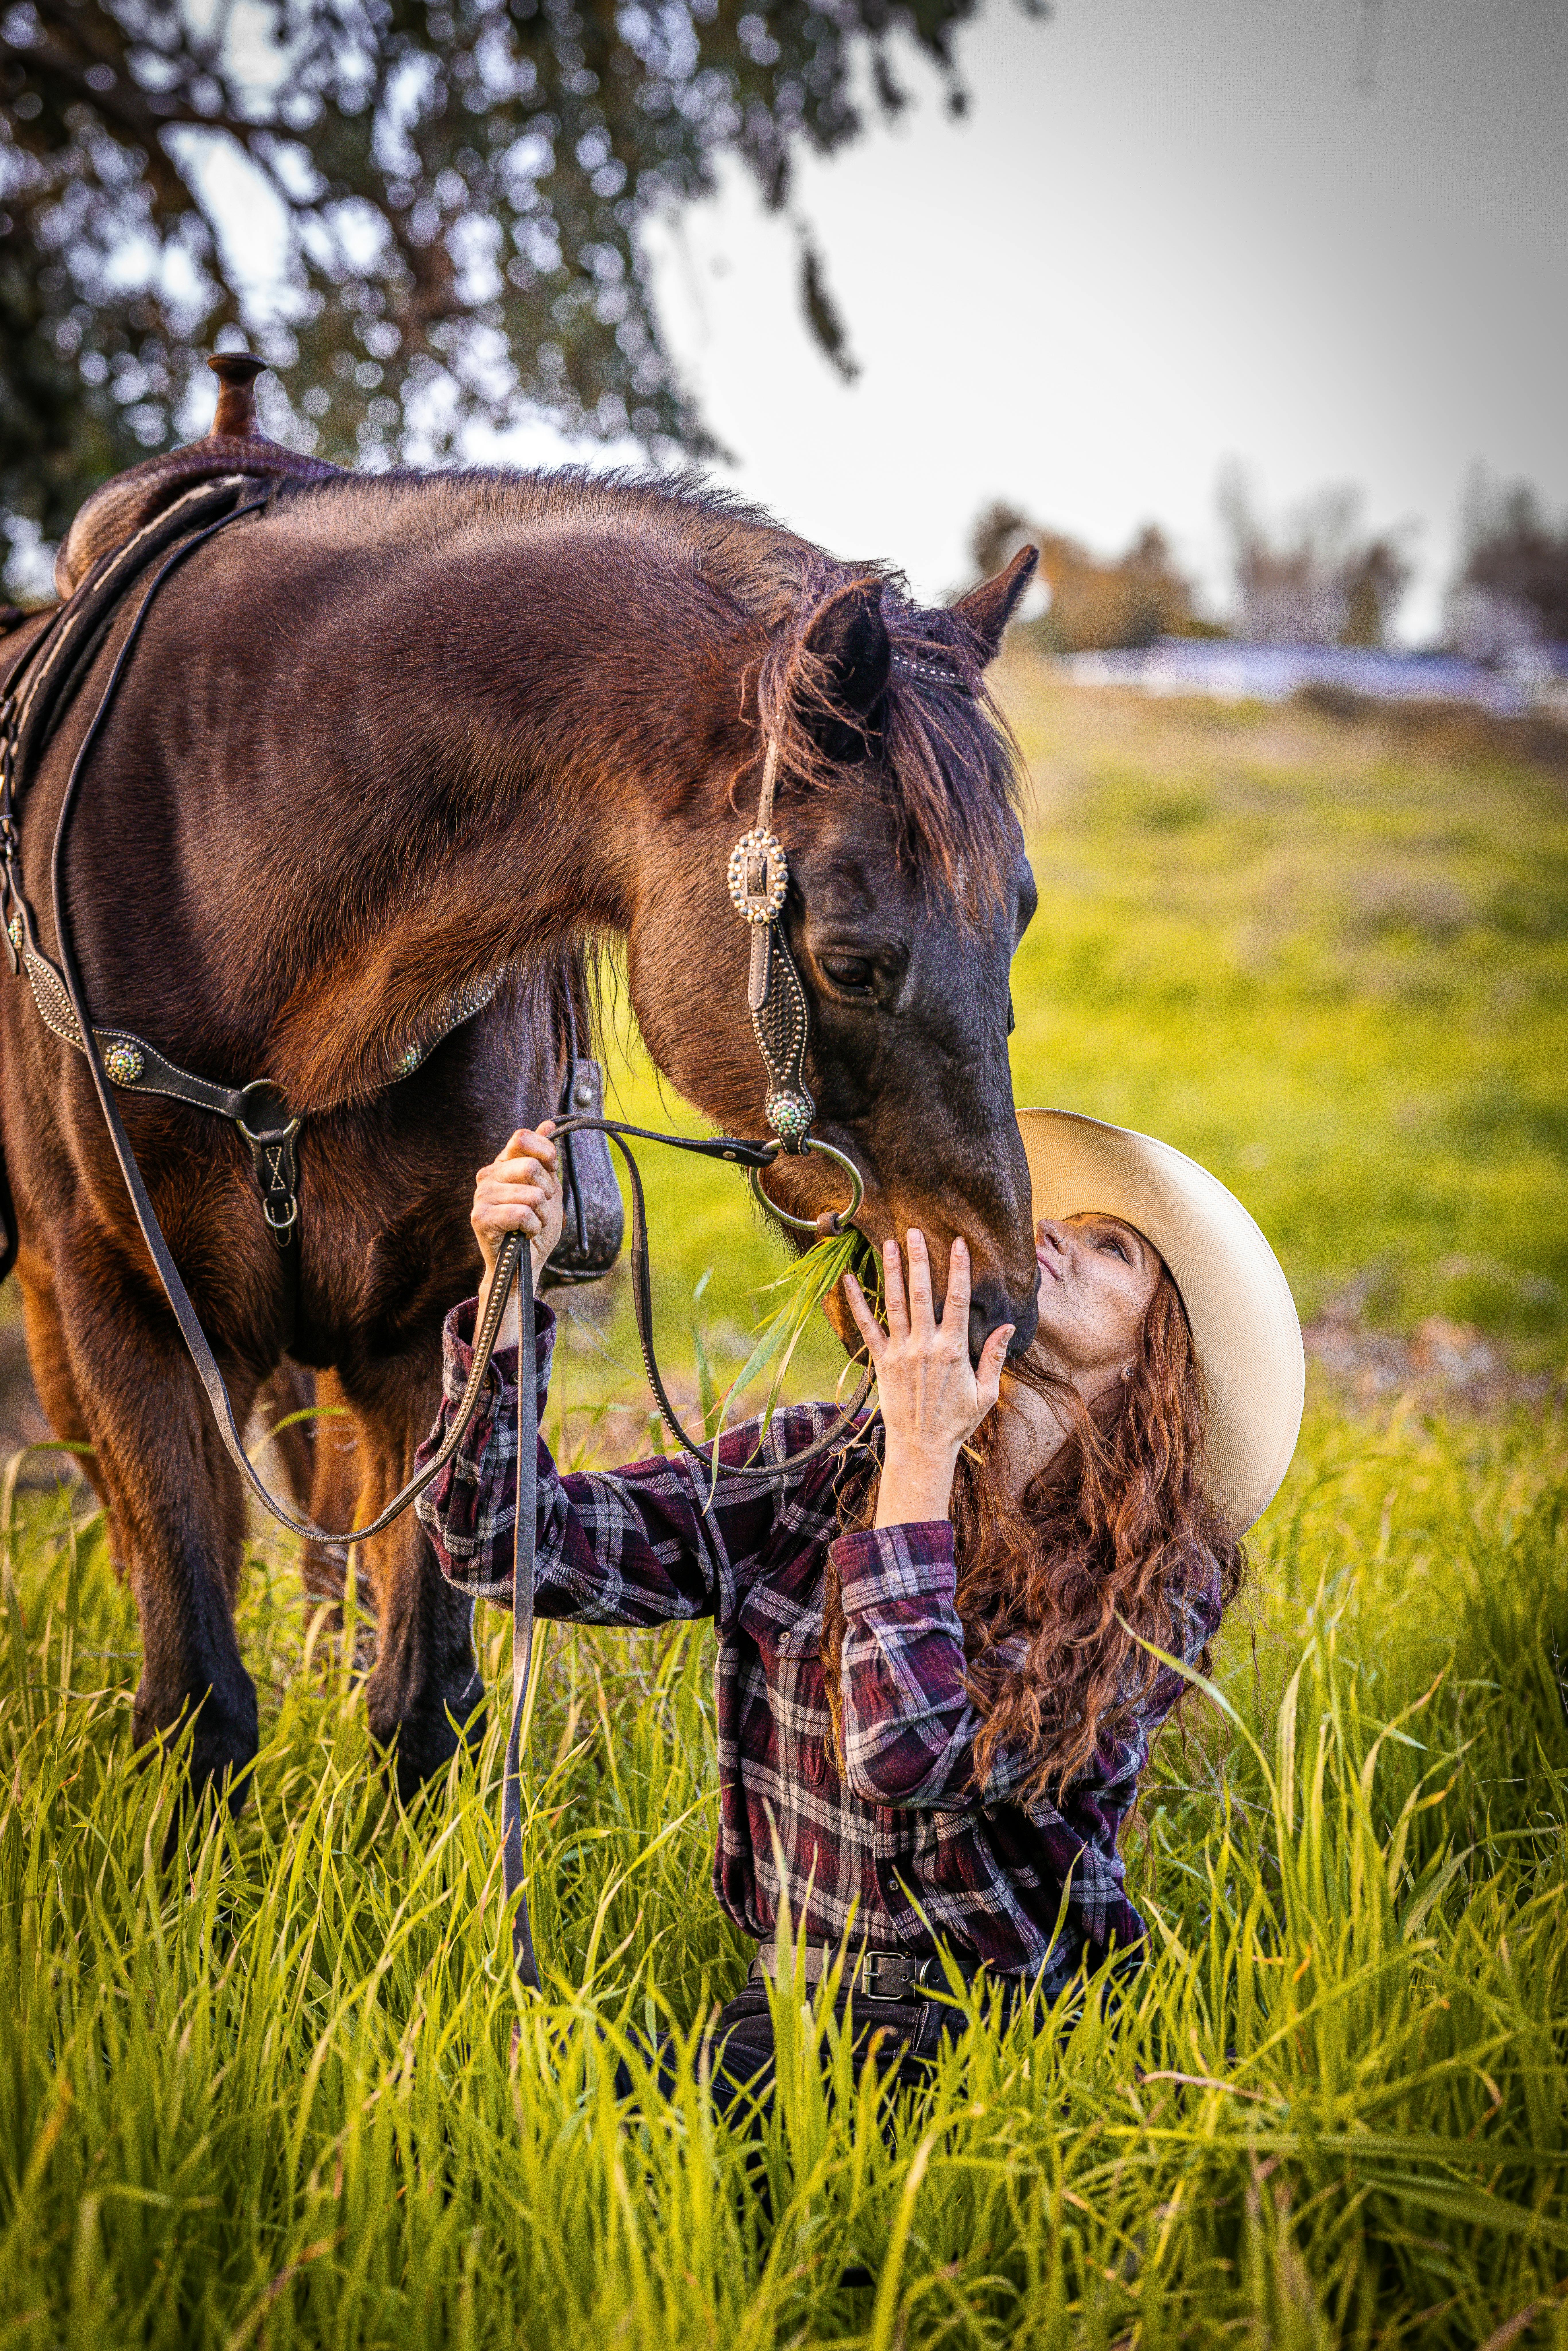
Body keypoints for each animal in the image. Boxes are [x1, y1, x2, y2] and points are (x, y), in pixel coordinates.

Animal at [0, 460, 1041, 1809]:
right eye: (854, 963)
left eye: (1019, 916)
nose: (1000, 1304)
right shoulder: (125, 1313)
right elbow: (198, 1694)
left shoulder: (440, 1318)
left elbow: (421, 1690)